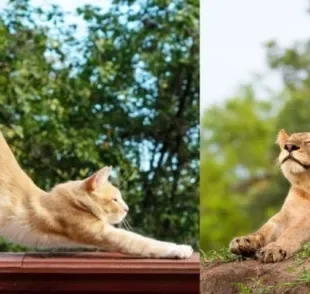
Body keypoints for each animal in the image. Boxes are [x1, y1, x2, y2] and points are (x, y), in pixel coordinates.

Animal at [230, 130, 310, 262]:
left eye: (308, 141)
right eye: (287, 141)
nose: (289, 146)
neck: (307, 188)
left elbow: (295, 230)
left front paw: (274, 248)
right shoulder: (286, 214)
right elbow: (266, 228)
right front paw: (244, 241)